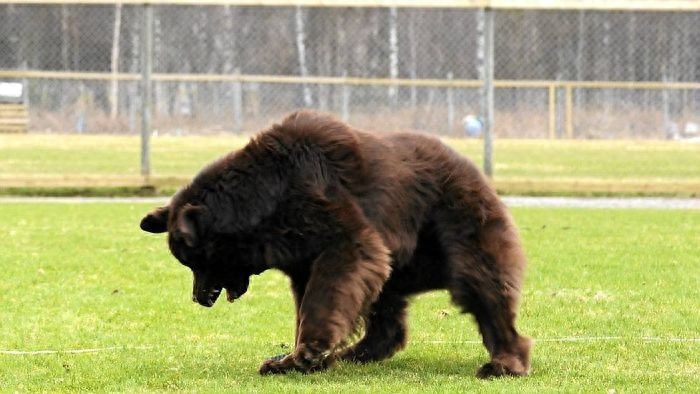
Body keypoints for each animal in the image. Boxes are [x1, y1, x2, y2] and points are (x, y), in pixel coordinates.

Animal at [141, 109, 532, 378]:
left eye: (196, 260)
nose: (200, 298)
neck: (265, 201)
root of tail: (471, 168)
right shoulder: (300, 253)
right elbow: (313, 294)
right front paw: (291, 358)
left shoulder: (325, 207)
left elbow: (339, 271)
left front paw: (307, 353)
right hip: (405, 259)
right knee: (386, 306)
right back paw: (356, 353)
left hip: (455, 220)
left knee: (482, 284)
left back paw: (504, 362)